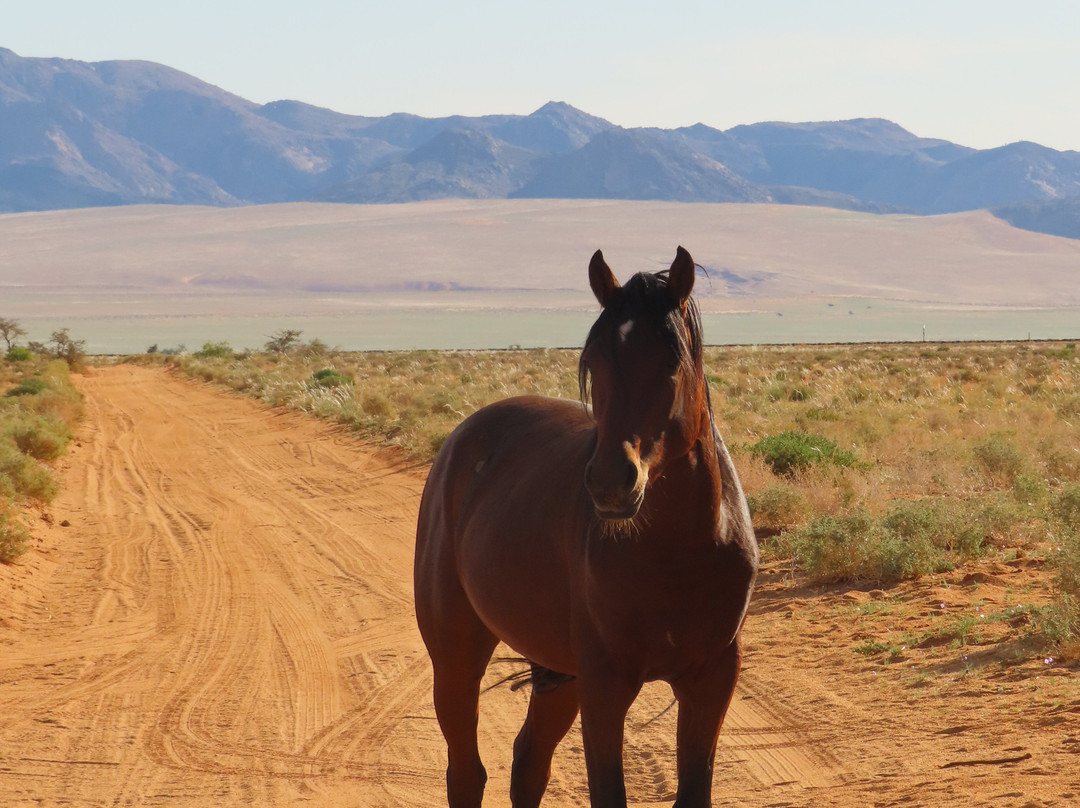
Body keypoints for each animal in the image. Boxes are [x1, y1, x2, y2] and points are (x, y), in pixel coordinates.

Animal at [414, 247, 758, 808]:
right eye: (594, 362)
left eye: (671, 363)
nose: (611, 482)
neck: (679, 554)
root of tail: (463, 438)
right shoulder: (605, 686)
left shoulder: (711, 680)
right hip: (457, 654)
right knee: (466, 773)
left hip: (561, 674)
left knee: (528, 763)